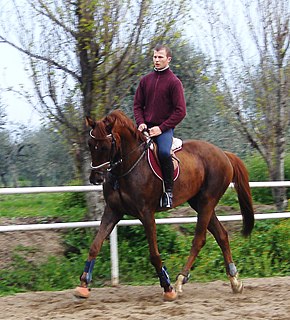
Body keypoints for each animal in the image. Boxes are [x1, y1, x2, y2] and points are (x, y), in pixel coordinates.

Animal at [74, 109, 254, 300]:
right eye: (90, 144)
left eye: (106, 146)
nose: (96, 178)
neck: (126, 169)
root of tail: (224, 154)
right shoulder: (112, 211)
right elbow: (95, 246)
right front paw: (83, 285)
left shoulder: (146, 213)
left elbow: (154, 254)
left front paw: (167, 287)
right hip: (200, 203)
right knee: (221, 235)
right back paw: (235, 281)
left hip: (207, 201)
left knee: (199, 239)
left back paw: (180, 281)